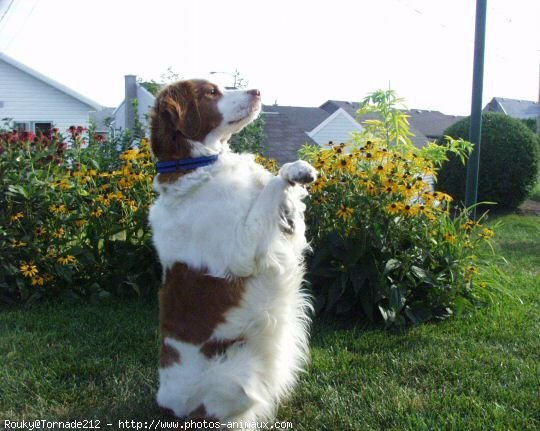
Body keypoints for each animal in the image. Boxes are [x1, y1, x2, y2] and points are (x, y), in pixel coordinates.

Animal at [149, 80, 316, 426]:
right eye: (211, 92)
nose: (257, 91)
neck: (196, 168)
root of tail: (169, 408)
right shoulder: (242, 249)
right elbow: (272, 185)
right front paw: (291, 171)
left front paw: (299, 174)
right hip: (238, 377)